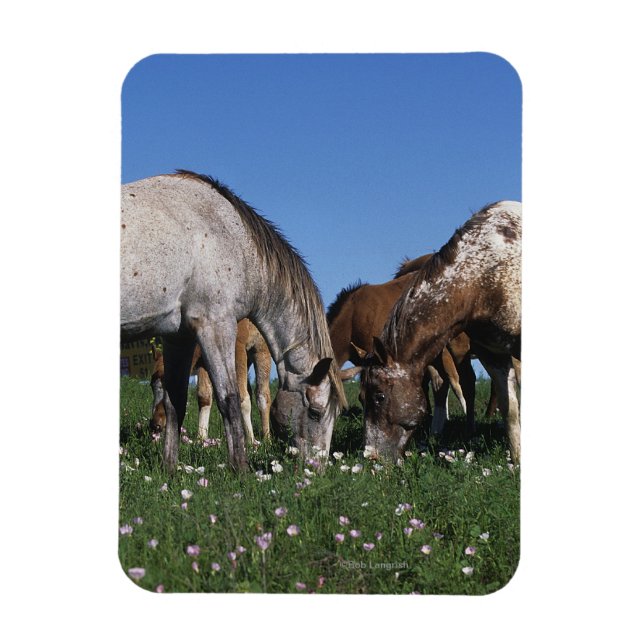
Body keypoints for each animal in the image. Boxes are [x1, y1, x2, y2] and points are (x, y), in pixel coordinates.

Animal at [121, 170, 346, 472]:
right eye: (314, 412)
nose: (316, 468)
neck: (229, 234)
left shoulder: (178, 337)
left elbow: (175, 400)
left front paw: (169, 469)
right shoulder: (216, 326)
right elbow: (229, 400)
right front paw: (241, 469)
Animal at [360, 201, 521, 464]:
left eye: (379, 396)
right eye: (361, 397)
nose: (371, 457)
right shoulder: (493, 354)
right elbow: (510, 411)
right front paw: (516, 462)